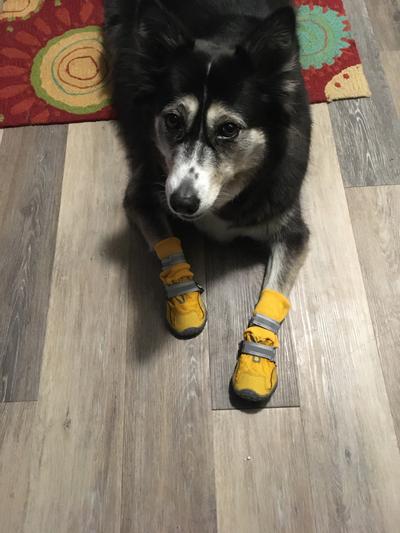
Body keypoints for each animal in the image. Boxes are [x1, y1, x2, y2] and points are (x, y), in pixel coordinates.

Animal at [104, 0, 311, 402]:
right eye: (172, 120)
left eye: (229, 129)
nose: (182, 204)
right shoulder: (144, 196)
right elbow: (169, 247)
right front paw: (184, 301)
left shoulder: (292, 229)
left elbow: (273, 294)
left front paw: (254, 364)